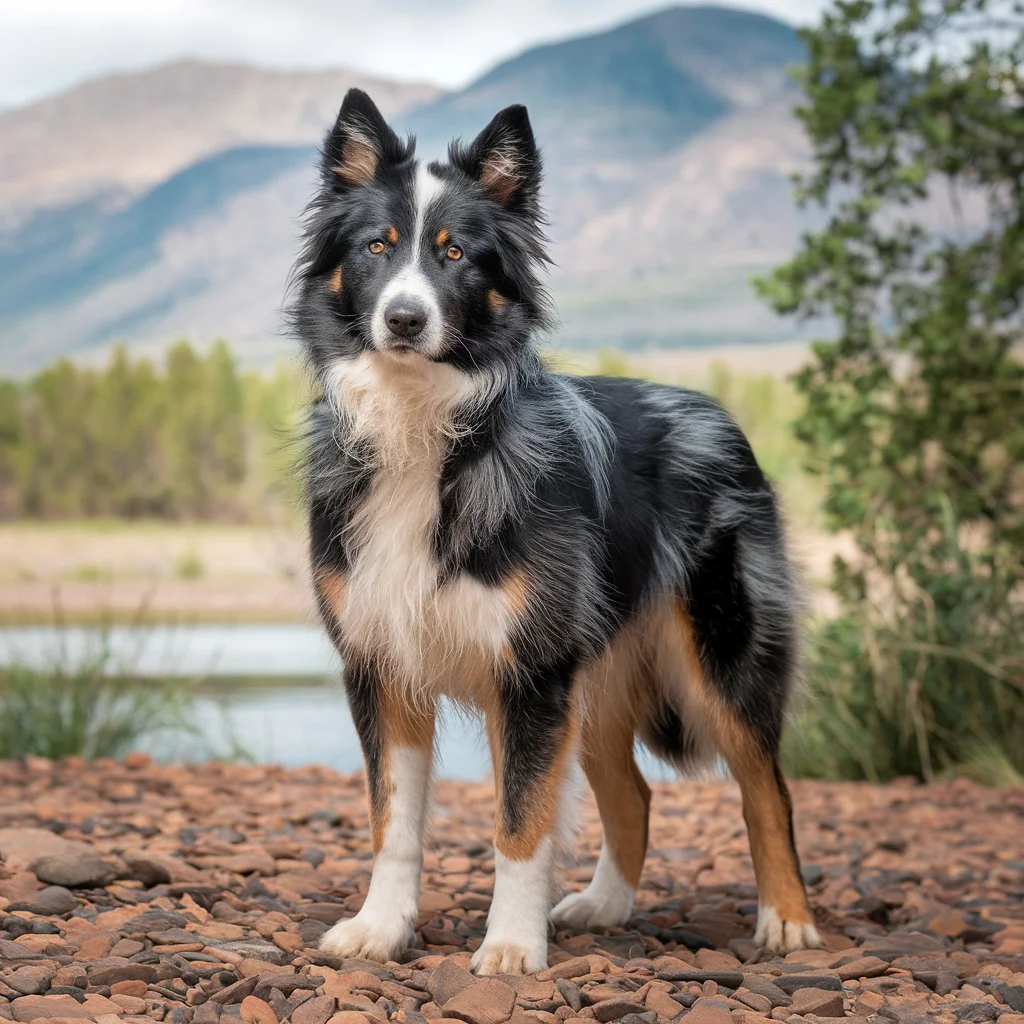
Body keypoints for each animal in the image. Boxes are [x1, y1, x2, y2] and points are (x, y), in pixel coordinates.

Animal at [292, 90, 819, 974]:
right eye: (377, 246)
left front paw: (510, 946)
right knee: (633, 792)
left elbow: (520, 824)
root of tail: (715, 410)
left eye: (457, 255)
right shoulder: (383, 662)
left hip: (722, 654)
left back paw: (788, 920)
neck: (426, 428)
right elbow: (392, 821)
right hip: (598, 673)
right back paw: (605, 906)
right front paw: (380, 928)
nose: (404, 319)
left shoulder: (532, 672)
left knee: (767, 789)